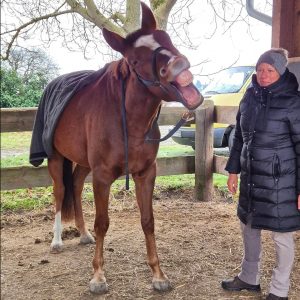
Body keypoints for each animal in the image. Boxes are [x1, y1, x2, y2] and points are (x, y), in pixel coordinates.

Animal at [45, 1, 203, 294]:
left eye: (167, 39)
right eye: (135, 60)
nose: (178, 66)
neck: (128, 121)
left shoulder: (146, 174)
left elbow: (148, 221)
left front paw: (158, 275)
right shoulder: (102, 176)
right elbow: (103, 223)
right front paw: (98, 277)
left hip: (83, 164)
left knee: (75, 185)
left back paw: (83, 234)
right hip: (55, 158)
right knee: (60, 192)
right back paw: (57, 240)